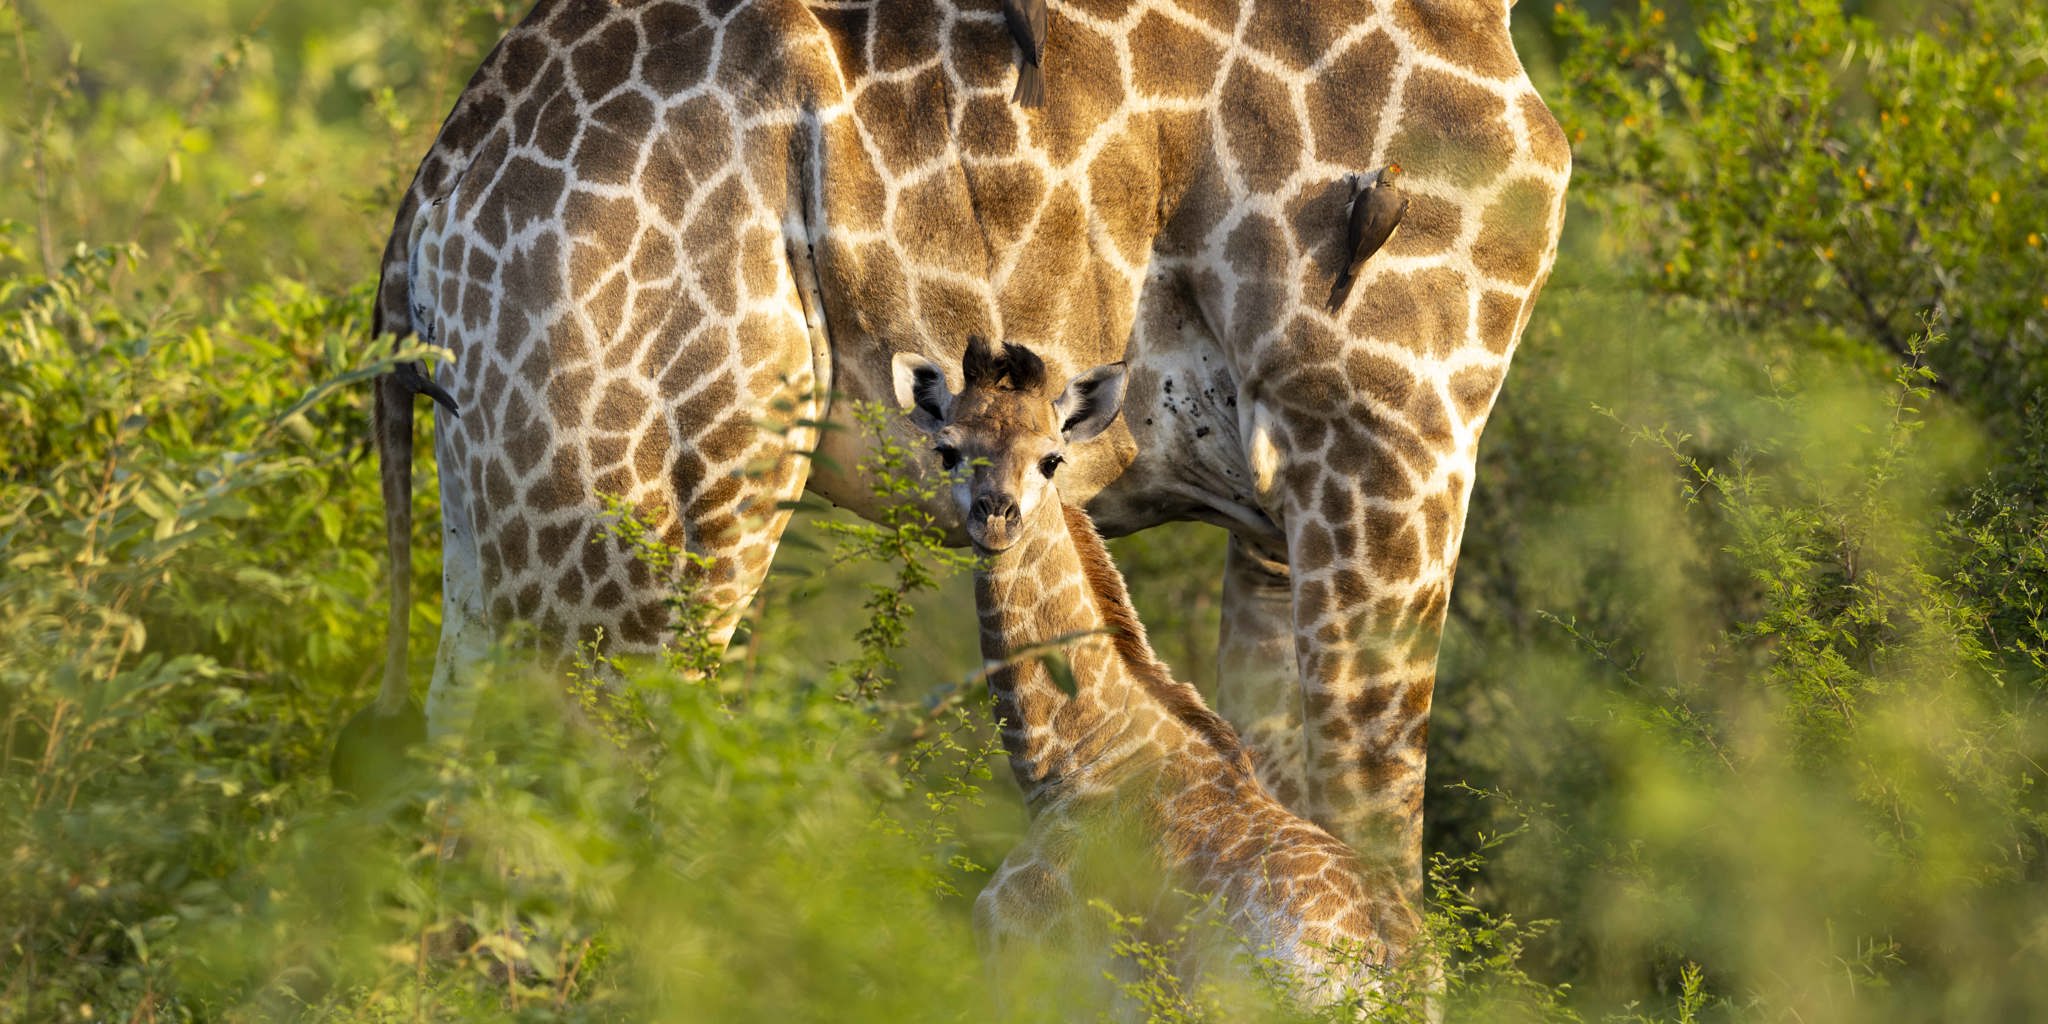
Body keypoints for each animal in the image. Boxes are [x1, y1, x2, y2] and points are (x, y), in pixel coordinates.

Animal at [363, 0, 1571, 905]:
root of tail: (428, 204)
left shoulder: (1284, 516)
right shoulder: (1388, 436)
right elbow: (1375, 854)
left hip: (510, 500)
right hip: (654, 498)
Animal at [894, 337, 1420, 1003]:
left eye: (1051, 460)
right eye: (948, 451)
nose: (995, 517)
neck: (1079, 757)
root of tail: (1386, 967)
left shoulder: (1030, 963)